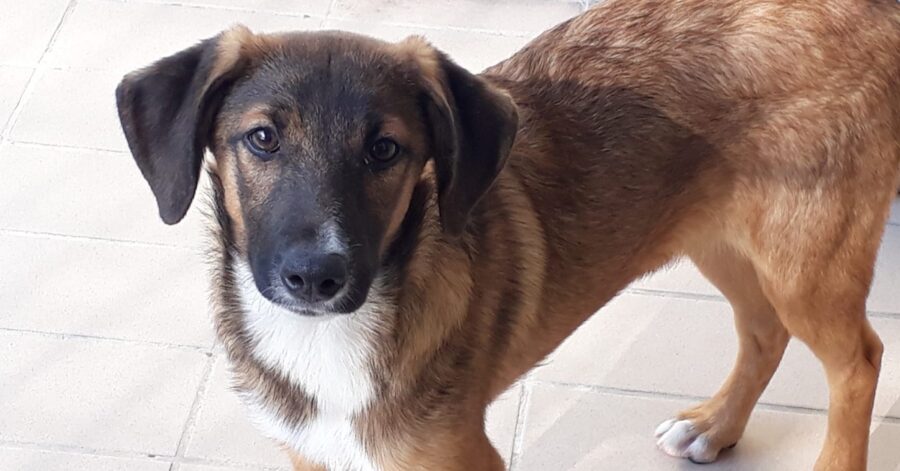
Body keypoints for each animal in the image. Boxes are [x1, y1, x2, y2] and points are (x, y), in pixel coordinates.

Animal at [116, 0, 900, 471]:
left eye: (386, 150)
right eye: (262, 139)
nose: (315, 276)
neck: (331, 340)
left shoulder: (459, 455)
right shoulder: (315, 451)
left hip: (807, 257)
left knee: (858, 360)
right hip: (722, 236)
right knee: (765, 331)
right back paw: (716, 425)